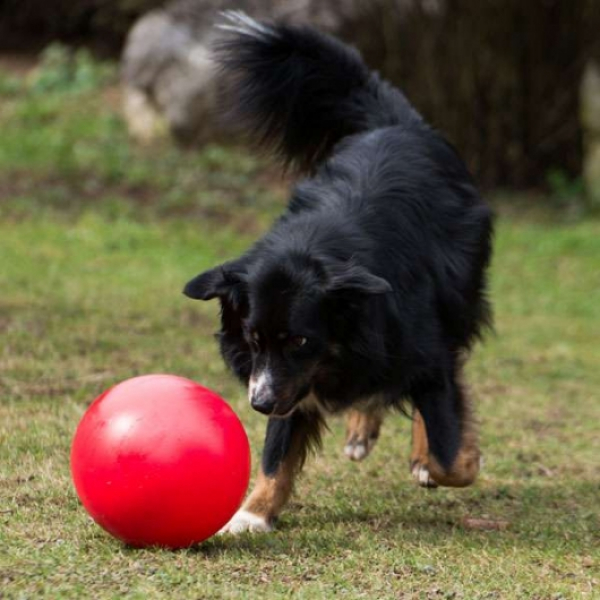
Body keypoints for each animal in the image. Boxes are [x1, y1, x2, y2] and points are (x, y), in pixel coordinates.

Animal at [185, 11, 494, 532]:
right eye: (251, 338)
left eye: (300, 339)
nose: (258, 403)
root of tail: (395, 122)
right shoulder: (290, 377)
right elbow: (277, 450)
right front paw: (252, 514)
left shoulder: (408, 340)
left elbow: (447, 451)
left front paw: (459, 458)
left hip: (458, 290)